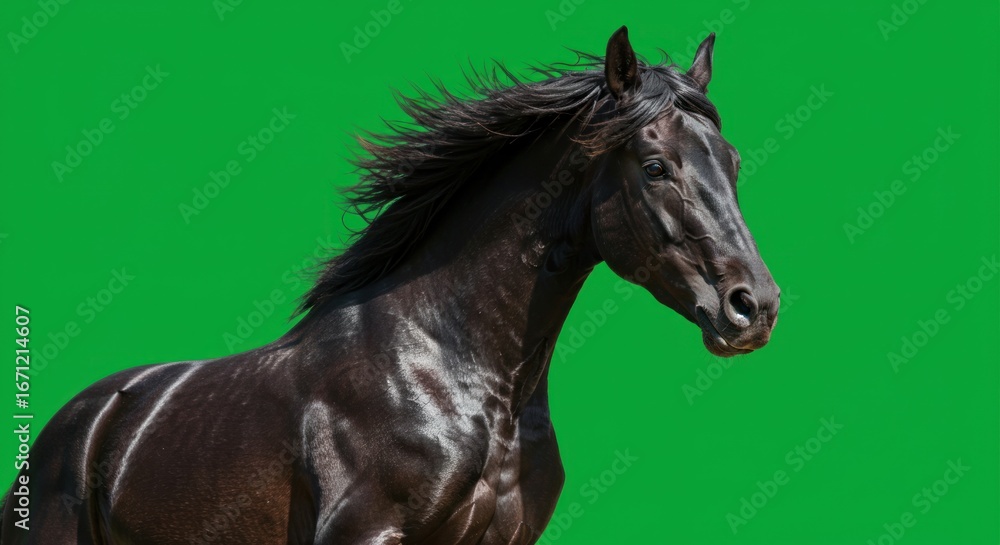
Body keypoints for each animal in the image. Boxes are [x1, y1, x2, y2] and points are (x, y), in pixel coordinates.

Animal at [1, 26, 778, 544]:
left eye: (733, 162)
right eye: (656, 166)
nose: (753, 307)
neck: (449, 370)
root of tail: (77, 424)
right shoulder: (365, 533)